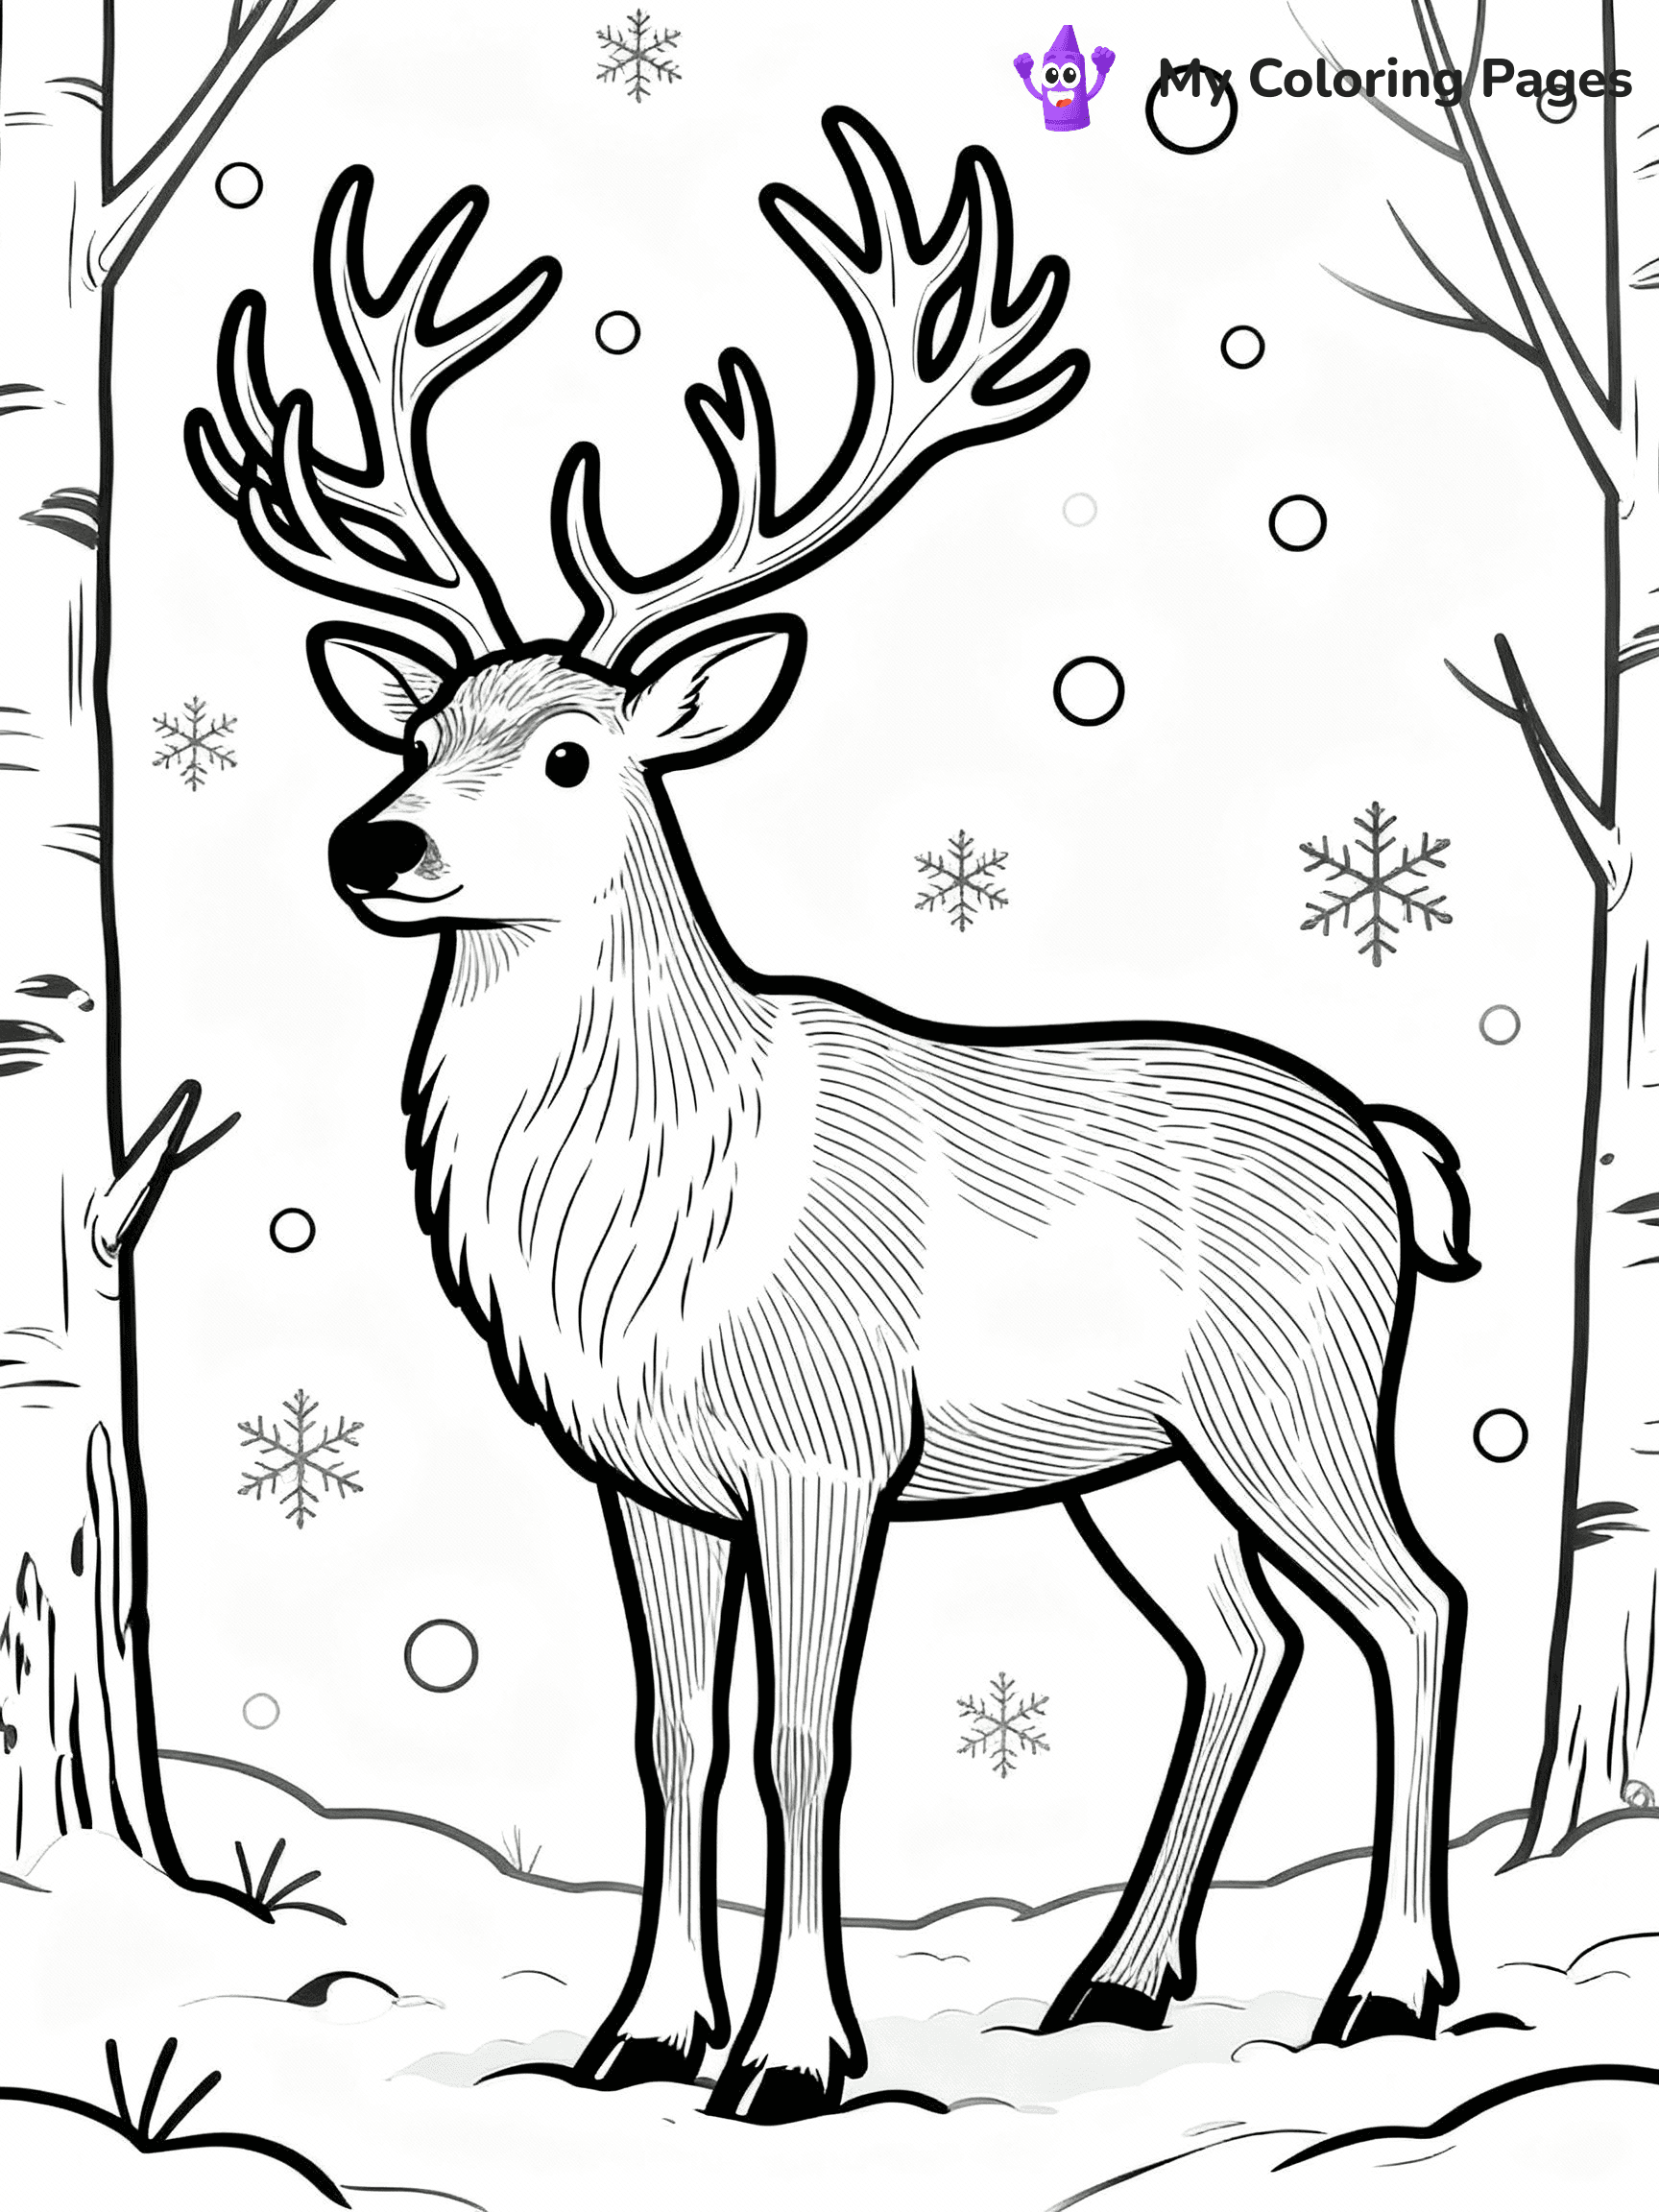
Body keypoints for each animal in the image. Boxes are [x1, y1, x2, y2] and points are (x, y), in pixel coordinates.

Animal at [189, 108, 1476, 2124]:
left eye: (571, 753)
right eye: (415, 733)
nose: (370, 844)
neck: (652, 1210)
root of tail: (1392, 1149)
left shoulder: (827, 1446)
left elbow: (805, 1730)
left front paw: (791, 2052)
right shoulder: (639, 1470)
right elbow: (671, 1729)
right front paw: (635, 2033)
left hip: (1296, 1386)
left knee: (1410, 1604)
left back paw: (1385, 1986)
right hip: (1135, 1457)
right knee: (1243, 1637)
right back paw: (1113, 1977)